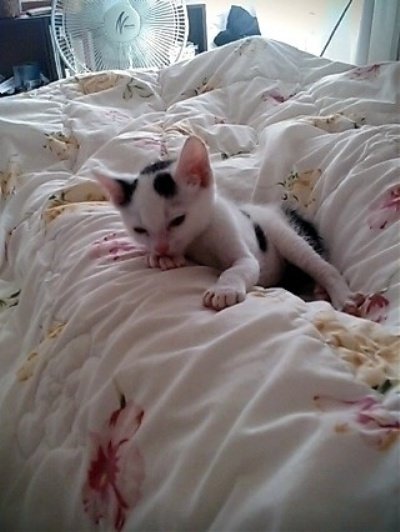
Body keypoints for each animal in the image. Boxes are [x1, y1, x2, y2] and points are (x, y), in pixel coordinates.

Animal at [96, 135, 364, 313]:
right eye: (140, 230)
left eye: (178, 220)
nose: (162, 248)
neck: (199, 239)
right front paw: (163, 258)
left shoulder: (237, 243)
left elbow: (238, 267)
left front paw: (223, 291)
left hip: (284, 234)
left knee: (322, 265)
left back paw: (341, 295)